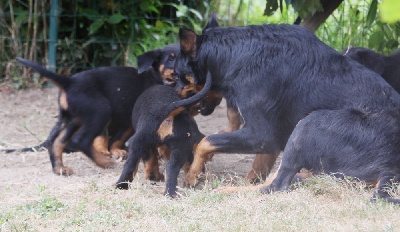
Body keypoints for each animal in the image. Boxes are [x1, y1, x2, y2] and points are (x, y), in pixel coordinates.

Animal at [10, 43, 179, 175]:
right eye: (171, 59)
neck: (158, 78)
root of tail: (68, 82)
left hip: (72, 118)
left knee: (56, 142)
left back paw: (60, 169)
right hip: (100, 111)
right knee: (80, 140)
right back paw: (103, 162)